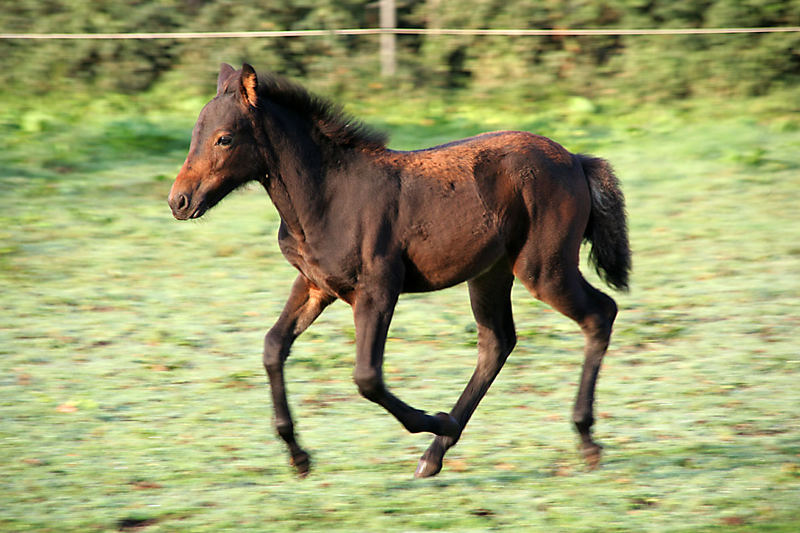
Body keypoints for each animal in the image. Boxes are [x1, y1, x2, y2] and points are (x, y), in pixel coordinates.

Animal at [170, 63, 632, 478]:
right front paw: (297, 455)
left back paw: (584, 440)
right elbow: (272, 347)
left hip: (543, 268)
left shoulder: (378, 288)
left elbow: (367, 377)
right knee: (497, 343)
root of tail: (575, 159)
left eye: (224, 138)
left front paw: (437, 419)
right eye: (195, 135)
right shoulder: (316, 285)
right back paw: (435, 455)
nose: (179, 200)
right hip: (490, 273)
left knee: (600, 313)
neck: (328, 196)